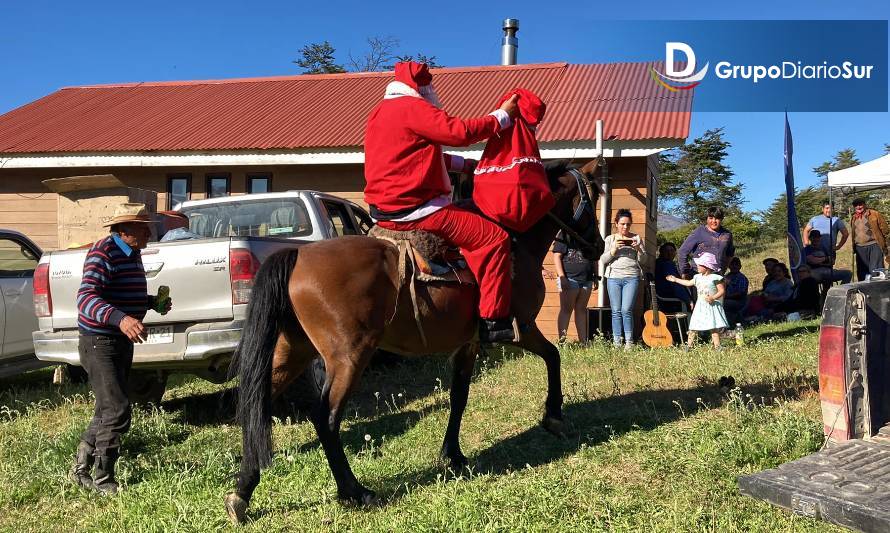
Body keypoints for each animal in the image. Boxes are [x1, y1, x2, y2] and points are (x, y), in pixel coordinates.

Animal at [225, 158, 608, 524]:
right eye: (593, 198)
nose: (599, 247)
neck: (516, 239)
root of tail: (298, 256)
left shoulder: (468, 344)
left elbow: (459, 397)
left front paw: (452, 454)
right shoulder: (522, 328)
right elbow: (553, 356)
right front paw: (553, 415)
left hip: (292, 353)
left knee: (254, 405)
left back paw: (242, 492)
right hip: (348, 357)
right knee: (325, 418)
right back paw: (354, 491)